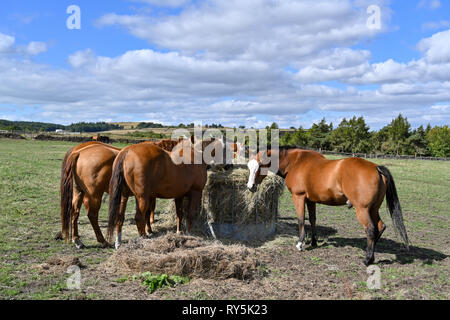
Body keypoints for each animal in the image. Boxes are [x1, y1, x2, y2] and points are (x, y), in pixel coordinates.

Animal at [248, 147, 410, 264]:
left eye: (260, 166)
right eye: (249, 167)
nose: (250, 187)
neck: (295, 163)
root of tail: (376, 167)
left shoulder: (299, 197)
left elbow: (301, 220)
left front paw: (300, 243)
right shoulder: (310, 200)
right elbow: (312, 220)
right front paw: (313, 241)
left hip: (363, 210)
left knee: (370, 229)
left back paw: (367, 259)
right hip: (373, 209)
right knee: (380, 227)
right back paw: (372, 252)